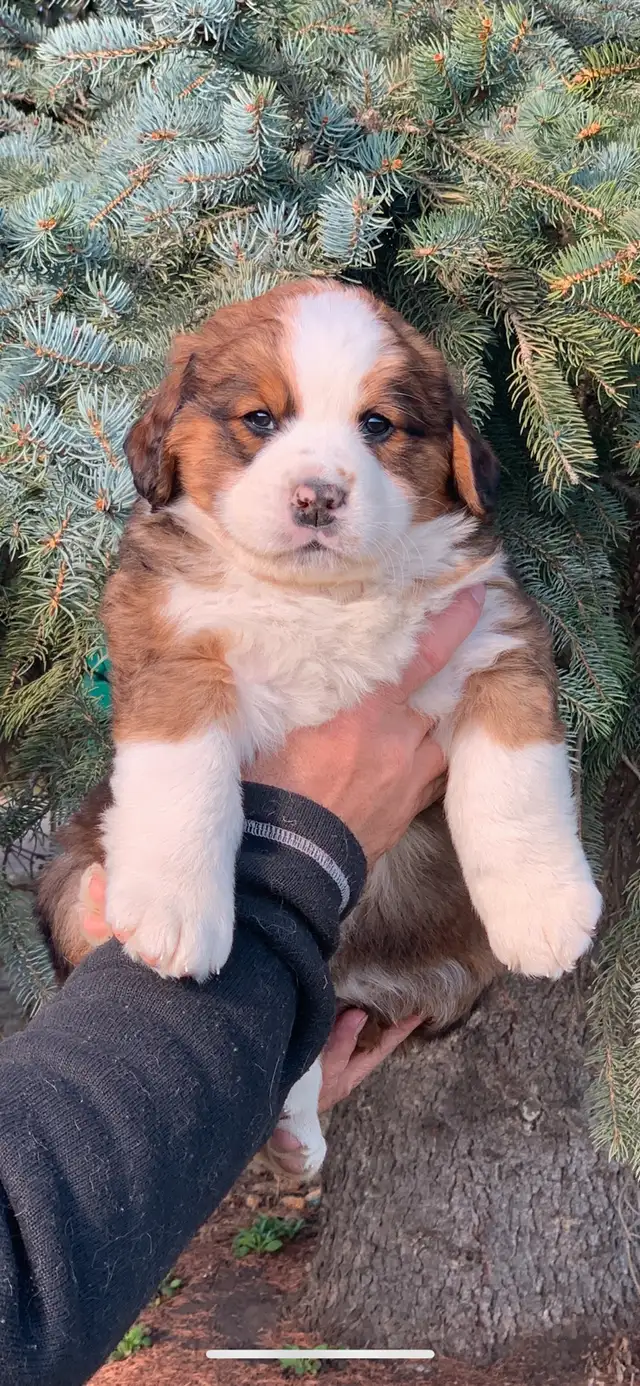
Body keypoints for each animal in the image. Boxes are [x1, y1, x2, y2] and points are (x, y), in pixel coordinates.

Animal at [37, 279, 602, 1175]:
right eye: (260, 420)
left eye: (377, 425)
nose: (318, 497)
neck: (321, 599)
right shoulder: (172, 647)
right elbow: (184, 778)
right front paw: (171, 909)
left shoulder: (494, 639)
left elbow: (513, 782)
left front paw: (545, 910)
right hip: (62, 874)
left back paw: (290, 1132)